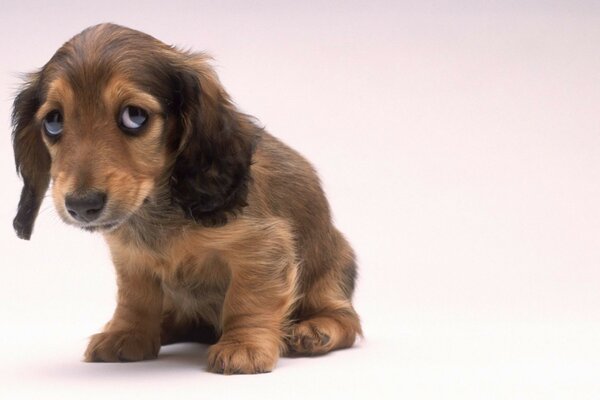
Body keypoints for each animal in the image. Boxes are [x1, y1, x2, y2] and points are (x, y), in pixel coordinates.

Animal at [11, 24, 360, 376]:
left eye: (134, 116)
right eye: (53, 121)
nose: (82, 206)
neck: (158, 209)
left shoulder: (262, 247)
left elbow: (248, 298)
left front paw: (243, 346)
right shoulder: (131, 258)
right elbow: (135, 298)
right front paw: (127, 333)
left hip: (330, 272)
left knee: (346, 319)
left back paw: (314, 331)